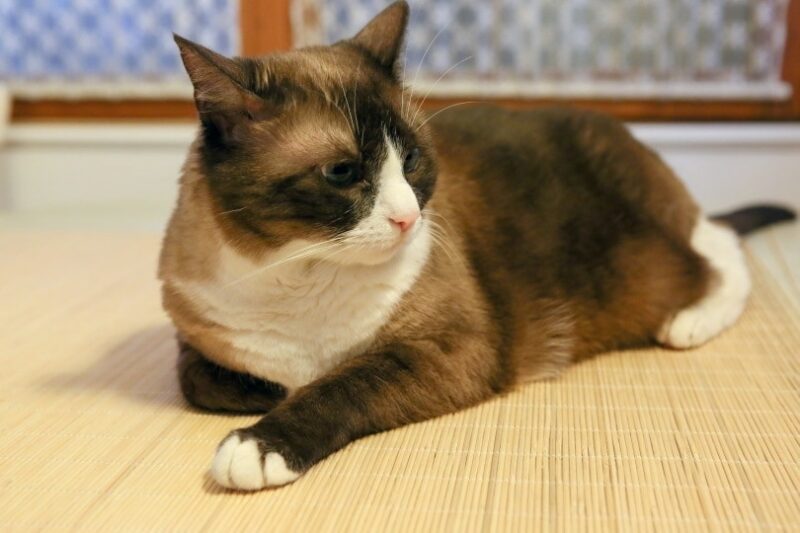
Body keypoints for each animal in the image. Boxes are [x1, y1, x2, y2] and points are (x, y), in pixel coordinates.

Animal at [158, 1, 792, 490]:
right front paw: (270, 392)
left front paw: (260, 445)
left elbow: (339, 384)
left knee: (719, 251)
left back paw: (687, 323)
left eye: (411, 159)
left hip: (660, 250)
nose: (408, 218)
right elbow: (210, 380)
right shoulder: (195, 345)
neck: (303, 266)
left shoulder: (449, 348)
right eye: (342, 172)